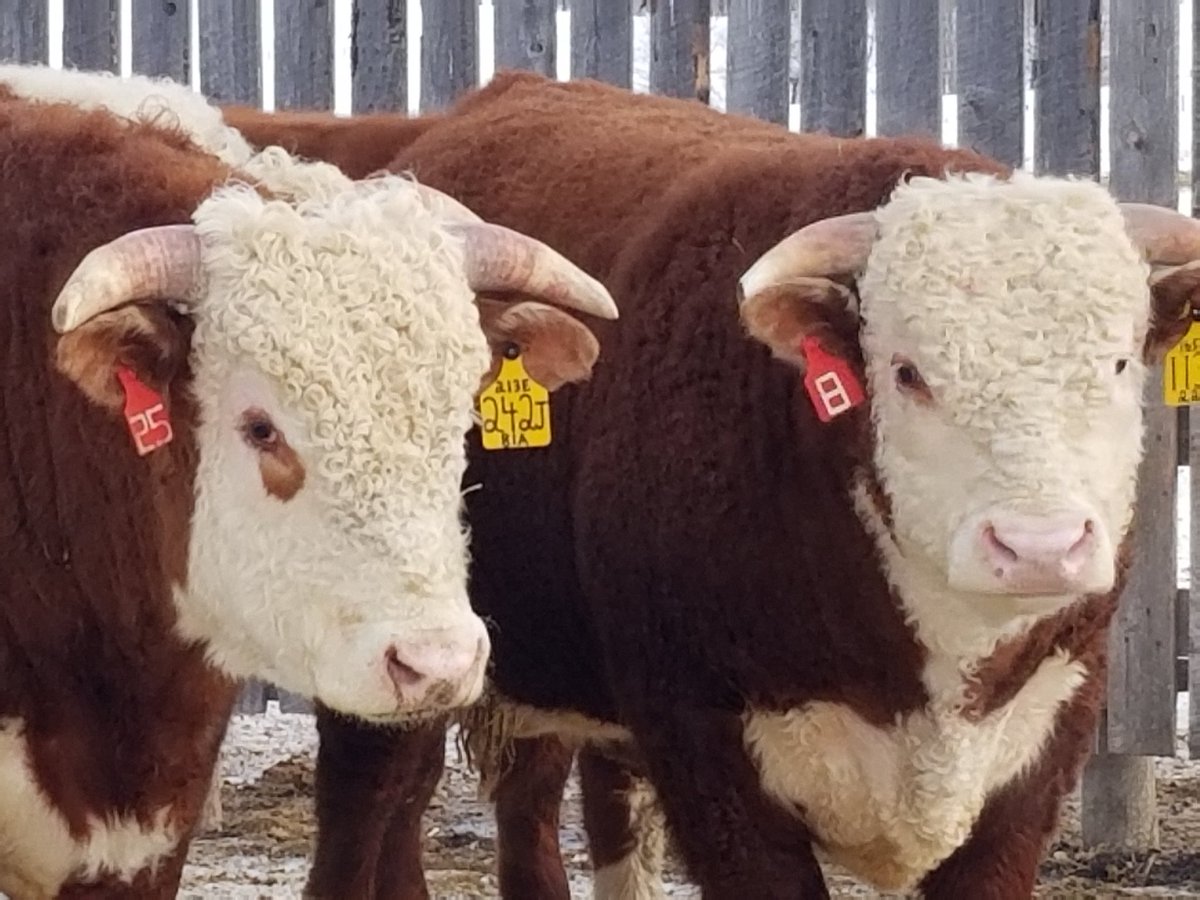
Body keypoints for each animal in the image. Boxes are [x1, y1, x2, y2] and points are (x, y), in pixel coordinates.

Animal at [223, 71, 1200, 899]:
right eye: (909, 372)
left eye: (1120, 362)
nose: (1038, 547)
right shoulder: (709, 757)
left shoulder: (1038, 758)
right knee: (365, 802)